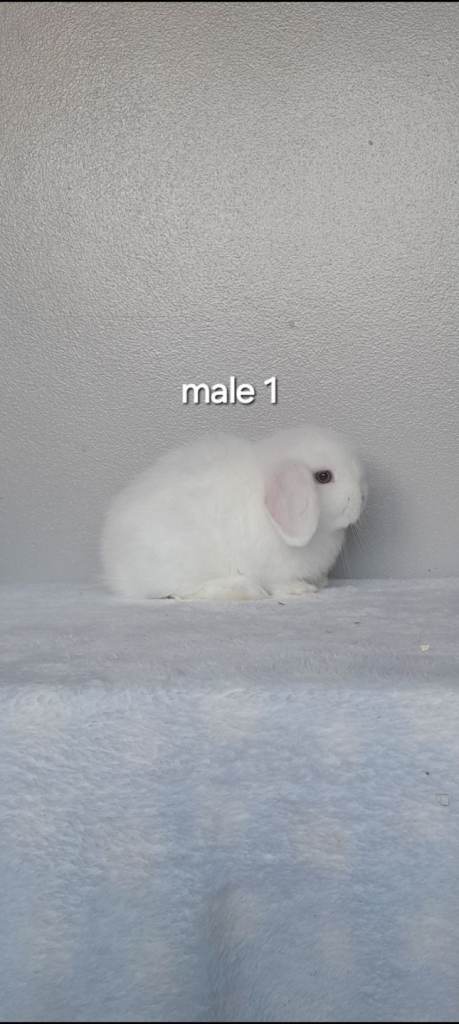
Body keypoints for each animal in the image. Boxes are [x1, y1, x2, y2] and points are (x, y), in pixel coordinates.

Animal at [101, 425, 367, 601]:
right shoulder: (271, 568)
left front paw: (320, 581)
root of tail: (114, 567)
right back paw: (245, 590)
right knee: (182, 592)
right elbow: (280, 583)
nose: (363, 498)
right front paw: (301, 589)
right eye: (324, 476)